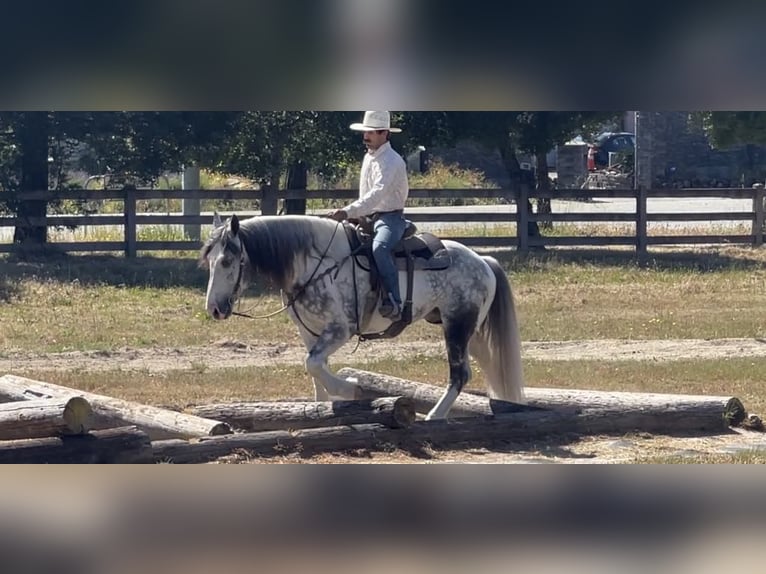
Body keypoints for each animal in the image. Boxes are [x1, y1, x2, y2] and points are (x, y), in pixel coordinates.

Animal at [199, 212, 525, 420]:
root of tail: (482, 259)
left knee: (460, 374)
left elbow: (313, 364)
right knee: (489, 364)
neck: (314, 265)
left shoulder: (340, 330)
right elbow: (315, 371)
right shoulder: (310, 332)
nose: (213, 308)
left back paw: (435, 415)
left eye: (227, 260)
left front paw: (350, 387)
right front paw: (318, 408)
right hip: (469, 330)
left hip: (457, 326)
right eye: (208, 261)